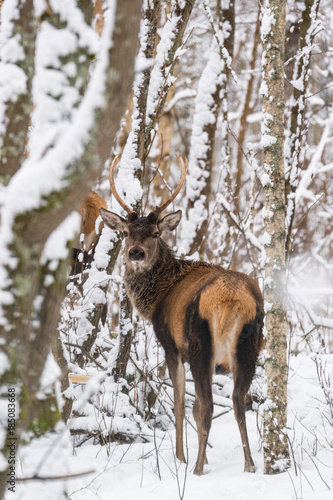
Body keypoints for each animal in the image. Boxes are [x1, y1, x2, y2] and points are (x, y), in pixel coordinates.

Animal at [98, 156, 262, 476]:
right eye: (126, 232)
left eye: (155, 233)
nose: (135, 253)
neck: (159, 297)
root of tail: (233, 301)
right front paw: (203, 455)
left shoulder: (171, 345)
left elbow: (179, 404)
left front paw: (183, 458)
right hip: (250, 345)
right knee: (238, 400)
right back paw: (249, 465)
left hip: (201, 345)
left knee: (208, 404)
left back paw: (197, 469)